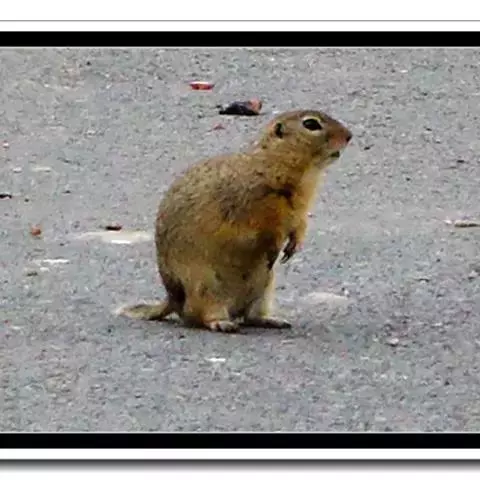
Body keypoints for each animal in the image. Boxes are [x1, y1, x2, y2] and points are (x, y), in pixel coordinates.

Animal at [117, 109, 352, 333]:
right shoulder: (260, 209)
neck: (272, 163)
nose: (349, 135)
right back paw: (221, 323)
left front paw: (294, 246)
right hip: (204, 286)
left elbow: (300, 227)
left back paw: (272, 320)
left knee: (250, 316)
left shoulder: (299, 212)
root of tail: (172, 299)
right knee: (198, 315)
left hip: (264, 289)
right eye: (311, 124)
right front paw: (275, 250)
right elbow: (268, 233)